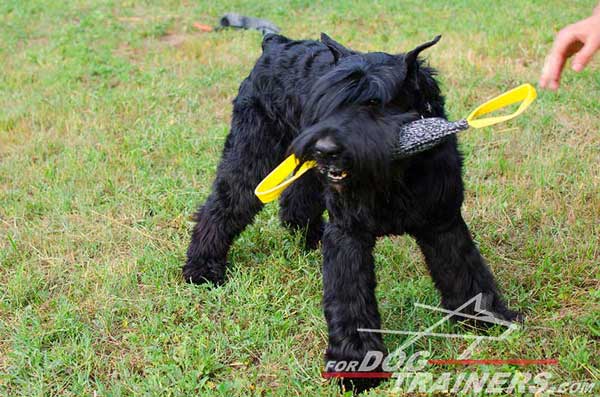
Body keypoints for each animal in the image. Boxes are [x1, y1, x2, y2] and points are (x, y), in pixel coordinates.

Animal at [185, 34, 524, 386]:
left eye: (374, 102)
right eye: (328, 100)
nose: (325, 148)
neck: (397, 172)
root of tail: (274, 42)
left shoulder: (443, 221)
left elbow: (466, 273)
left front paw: (485, 320)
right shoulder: (349, 234)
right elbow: (351, 301)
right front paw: (357, 365)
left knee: (297, 199)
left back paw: (309, 240)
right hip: (251, 155)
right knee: (222, 205)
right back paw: (202, 268)